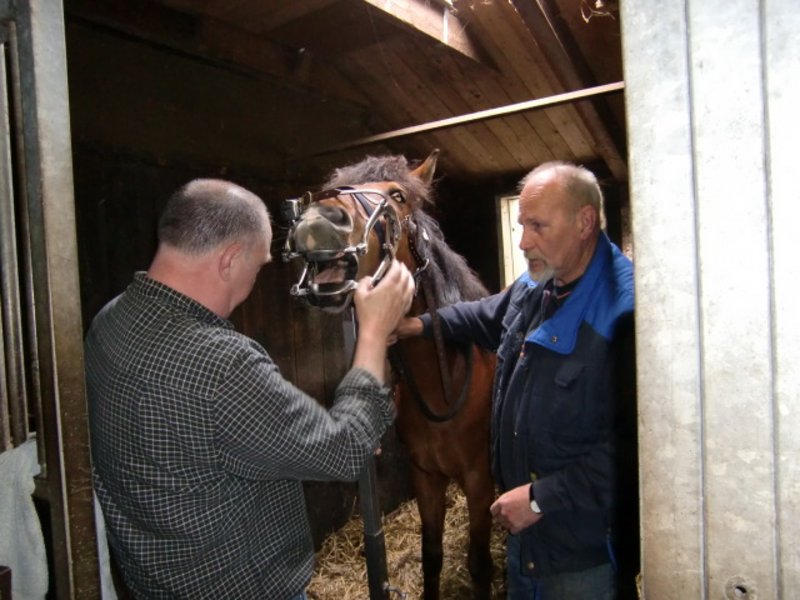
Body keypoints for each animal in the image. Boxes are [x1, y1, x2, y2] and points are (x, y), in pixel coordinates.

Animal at [282, 150, 496, 599]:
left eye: (398, 195)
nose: (319, 220)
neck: (443, 385)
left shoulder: (479, 481)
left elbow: (479, 564)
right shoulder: (426, 477)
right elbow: (432, 554)